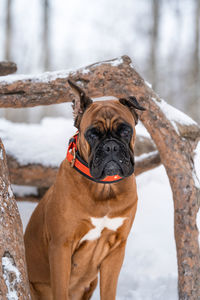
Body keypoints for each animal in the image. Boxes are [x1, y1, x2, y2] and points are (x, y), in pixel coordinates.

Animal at [24, 80, 145, 300]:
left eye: (125, 131)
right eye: (92, 134)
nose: (111, 147)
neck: (104, 188)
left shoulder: (116, 249)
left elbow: (109, 291)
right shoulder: (61, 246)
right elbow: (60, 290)